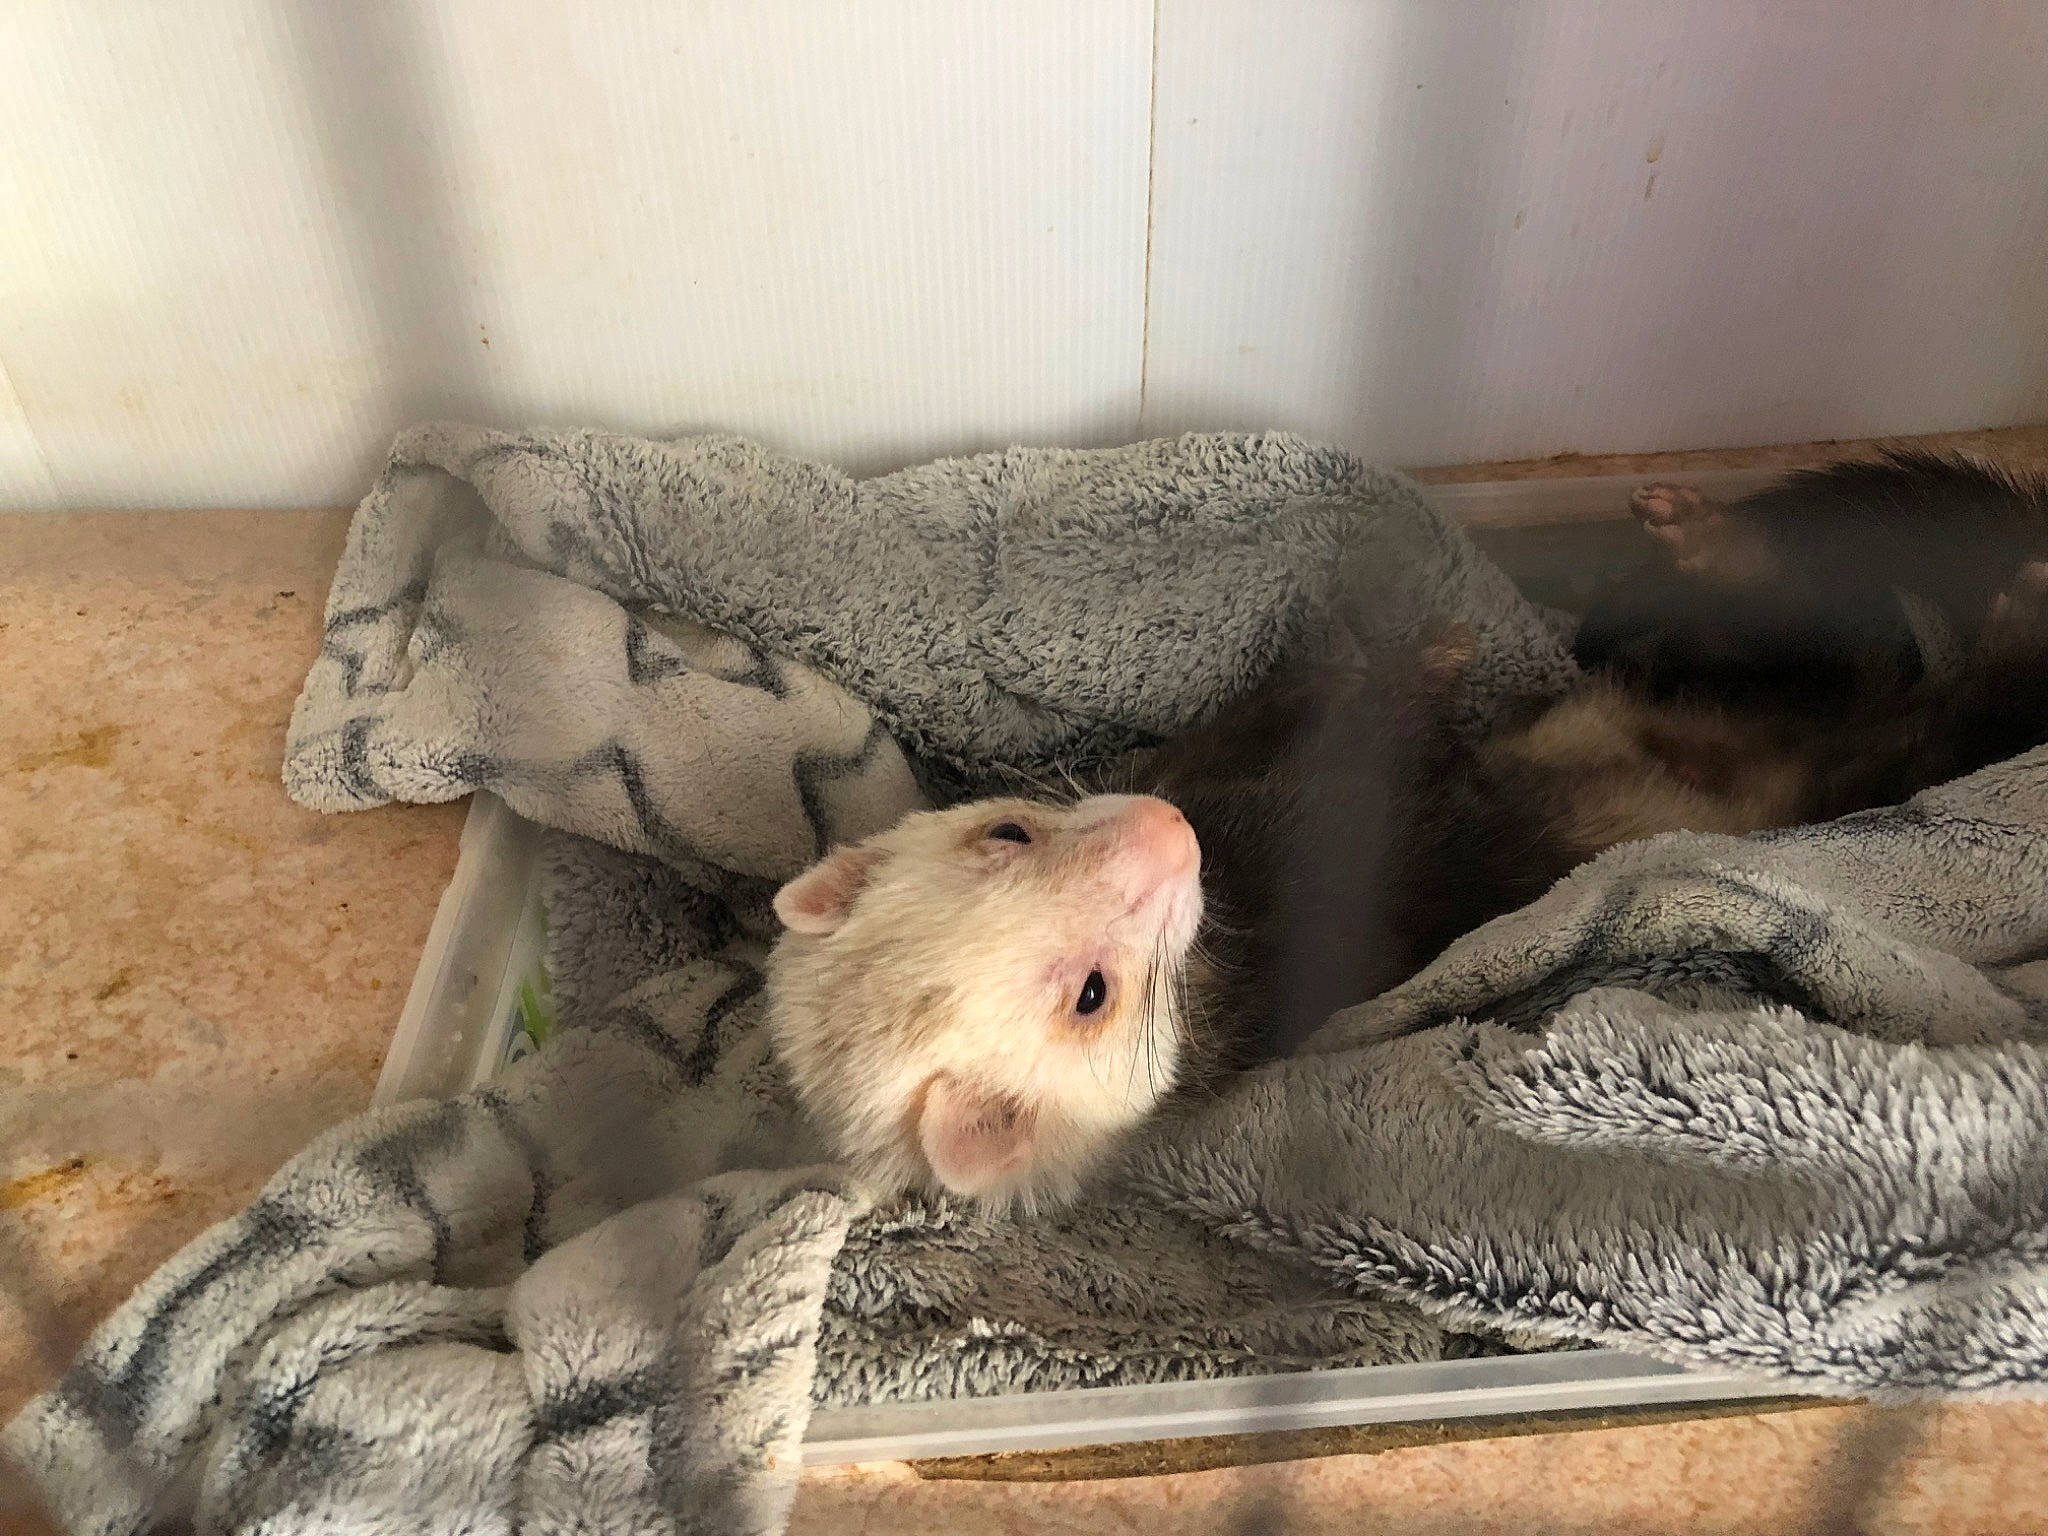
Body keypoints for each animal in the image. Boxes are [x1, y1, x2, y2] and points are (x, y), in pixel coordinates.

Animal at [767, 451, 2048, 1212]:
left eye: (1005, 832)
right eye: (1092, 995)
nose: (1165, 840)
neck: (1251, 838)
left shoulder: (1224, 750)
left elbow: (1303, 694)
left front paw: (1396, 651)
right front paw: (1416, 673)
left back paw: (1701, 530)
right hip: (1890, 752)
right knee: (1969, 700)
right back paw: (2005, 607)